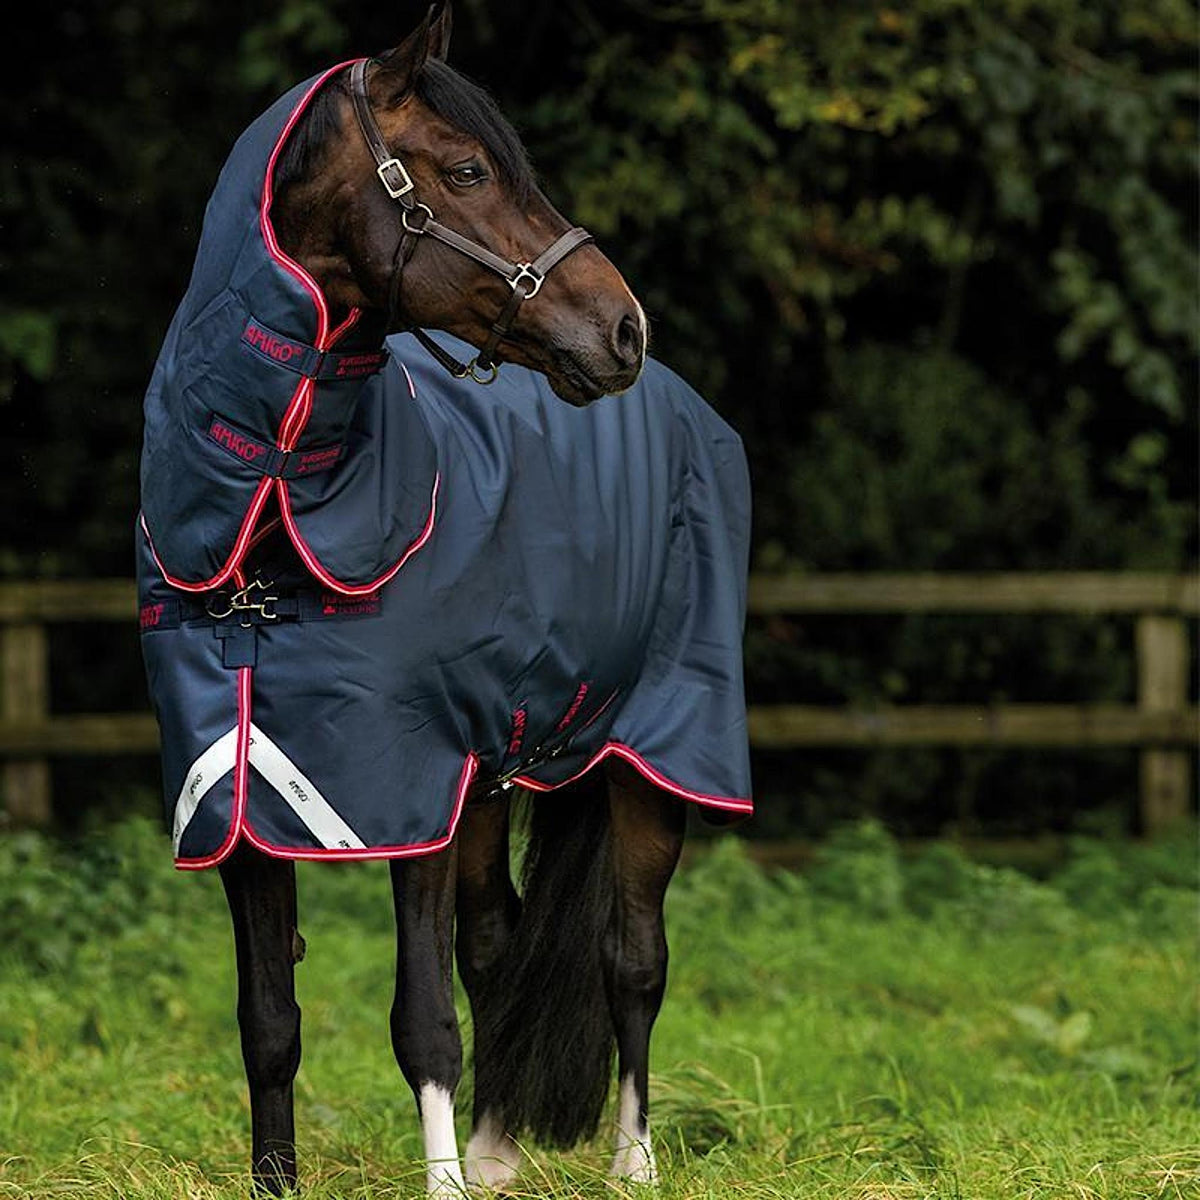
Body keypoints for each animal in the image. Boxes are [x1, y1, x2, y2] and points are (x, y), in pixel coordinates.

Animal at [135, 4, 752, 1195]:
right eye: (467, 169)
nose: (624, 329)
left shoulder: (408, 790)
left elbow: (422, 1019)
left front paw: (444, 1181)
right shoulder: (243, 806)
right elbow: (269, 1021)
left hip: (655, 756)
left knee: (633, 959)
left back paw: (632, 1161)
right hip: (495, 768)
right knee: (500, 939)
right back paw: (501, 1151)